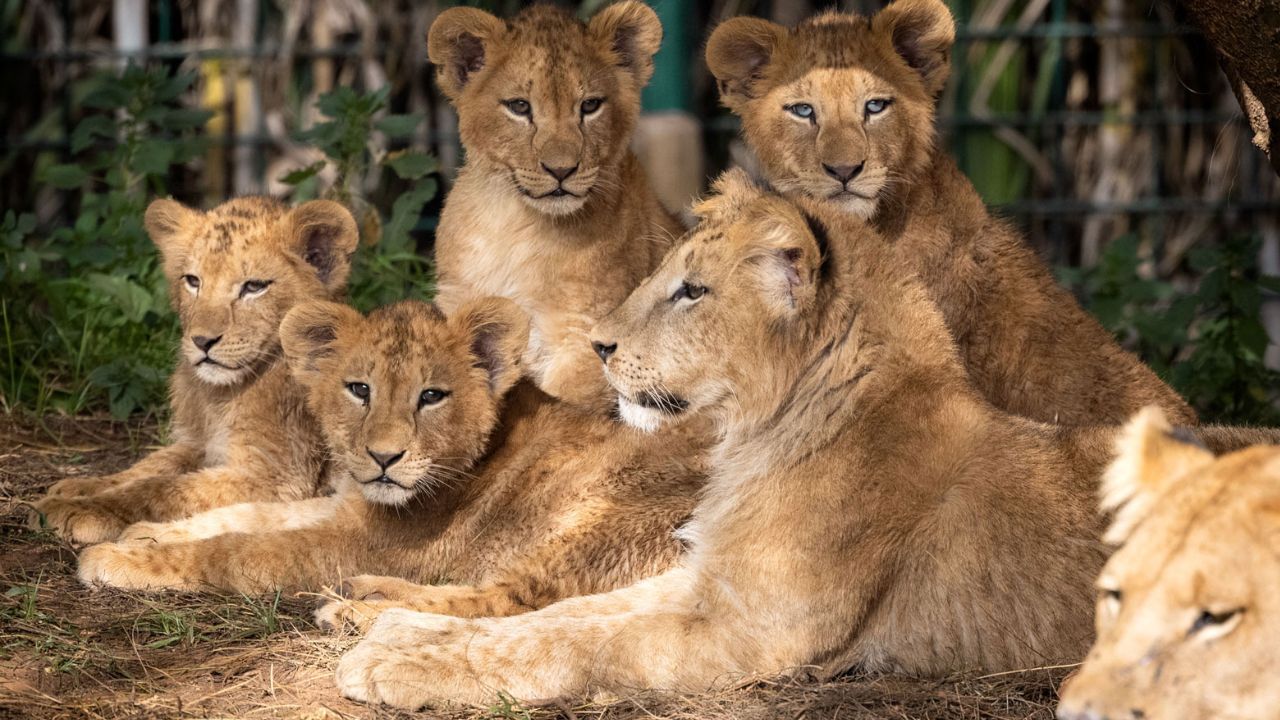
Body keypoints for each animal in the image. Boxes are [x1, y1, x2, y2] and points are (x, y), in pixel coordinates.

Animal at [31, 196, 360, 538]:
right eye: (192, 281)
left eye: (254, 286)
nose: (203, 341)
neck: (218, 397)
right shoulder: (199, 443)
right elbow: (152, 465)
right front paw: (82, 486)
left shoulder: (280, 476)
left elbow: (161, 489)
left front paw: (77, 509)